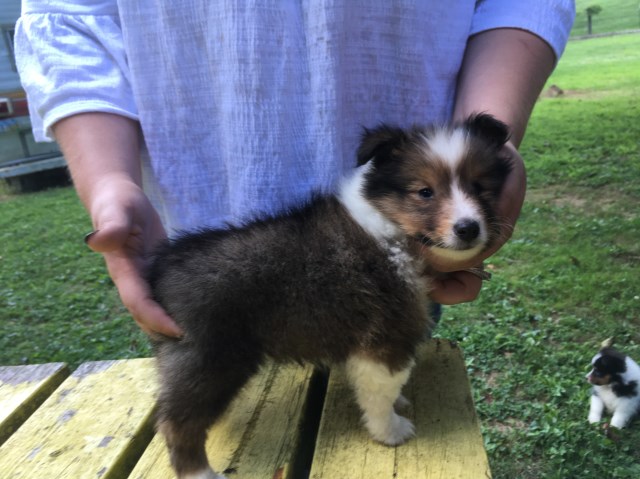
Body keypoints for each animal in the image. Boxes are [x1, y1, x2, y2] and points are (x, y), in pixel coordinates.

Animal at [148, 113, 512, 479]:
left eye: (479, 186)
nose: (468, 229)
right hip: (210, 359)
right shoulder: (386, 336)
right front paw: (391, 431)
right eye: (425, 192)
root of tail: (164, 267)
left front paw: (397, 405)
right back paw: (199, 471)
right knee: (176, 423)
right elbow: (380, 393)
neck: (389, 226)